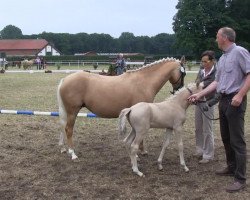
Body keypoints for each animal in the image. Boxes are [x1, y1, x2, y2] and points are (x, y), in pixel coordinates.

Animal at [56, 57, 186, 160]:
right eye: (183, 74)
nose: (179, 89)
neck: (144, 82)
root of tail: (65, 79)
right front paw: (141, 151)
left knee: (62, 126)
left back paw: (63, 148)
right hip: (73, 112)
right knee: (68, 129)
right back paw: (72, 153)